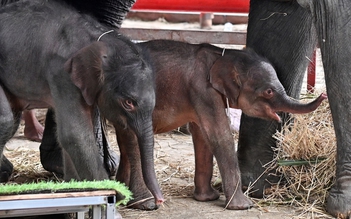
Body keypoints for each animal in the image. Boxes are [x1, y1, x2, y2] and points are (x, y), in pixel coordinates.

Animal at [116, 39, 328, 210]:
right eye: (268, 91)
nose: (323, 95)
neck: (223, 54)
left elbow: (201, 135)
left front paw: (208, 198)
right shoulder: (203, 90)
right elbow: (219, 135)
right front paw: (243, 206)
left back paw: (120, 196)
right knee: (132, 142)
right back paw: (144, 204)